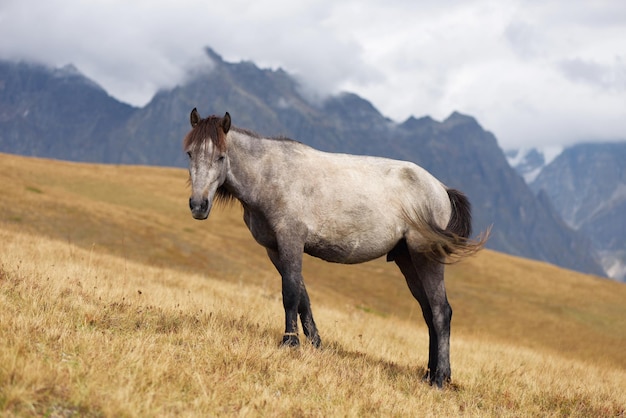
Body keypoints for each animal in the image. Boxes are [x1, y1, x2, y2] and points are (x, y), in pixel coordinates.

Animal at [183, 108, 486, 388]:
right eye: (189, 154)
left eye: (221, 157)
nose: (198, 206)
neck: (270, 175)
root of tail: (441, 189)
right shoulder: (275, 249)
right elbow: (303, 297)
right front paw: (315, 344)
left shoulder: (291, 241)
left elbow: (290, 293)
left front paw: (290, 343)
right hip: (408, 260)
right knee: (428, 313)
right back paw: (429, 374)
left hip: (426, 258)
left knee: (441, 312)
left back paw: (441, 378)